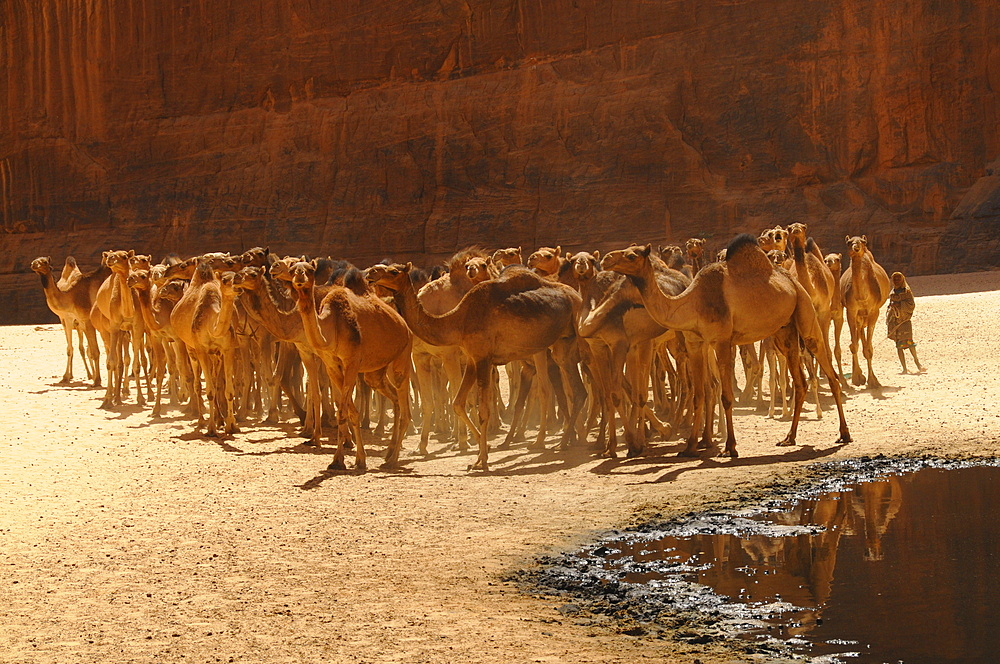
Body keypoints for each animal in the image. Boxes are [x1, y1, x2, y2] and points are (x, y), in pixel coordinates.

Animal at [30, 256, 108, 386]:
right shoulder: (71, 320)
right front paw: (67, 377)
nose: (33, 264)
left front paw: (96, 379)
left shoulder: (84, 320)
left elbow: (92, 350)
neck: (71, 297)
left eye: (44, 262)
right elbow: (73, 349)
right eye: (35, 260)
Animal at [288, 260, 412, 472]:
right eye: (292, 269)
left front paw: (341, 460)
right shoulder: (332, 364)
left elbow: (343, 411)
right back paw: (388, 452)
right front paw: (354, 459)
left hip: (402, 357)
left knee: (405, 410)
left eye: (310, 270)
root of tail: (406, 326)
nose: (300, 278)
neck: (332, 325)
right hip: (376, 371)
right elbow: (349, 411)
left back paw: (393, 460)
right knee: (394, 399)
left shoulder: (352, 363)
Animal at [368, 262, 584, 470]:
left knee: (565, 389)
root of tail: (578, 297)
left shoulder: (483, 358)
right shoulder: (472, 359)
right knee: (576, 390)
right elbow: (457, 402)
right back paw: (568, 441)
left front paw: (482, 460)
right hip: (560, 344)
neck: (458, 320)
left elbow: (483, 410)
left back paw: (555, 442)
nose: (371, 272)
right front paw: (482, 448)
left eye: (394, 271)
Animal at [600, 236, 852, 460]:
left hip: (806, 313)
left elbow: (727, 396)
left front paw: (729, 447)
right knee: (800, 383)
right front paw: (690, 447)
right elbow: (699, 395)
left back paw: (844, 434)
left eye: (631, 256)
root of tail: (794, 282)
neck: (692, 302)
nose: (605, 259)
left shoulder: (722, 341)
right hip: (785, 331)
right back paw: (789, 438)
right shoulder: (695, 343)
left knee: (828, 371)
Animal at [844, 236, 892, 390]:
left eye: (863, 242)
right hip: (859, 317)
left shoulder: (873, 311)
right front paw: (857, 378)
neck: (862, 296)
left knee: (863, 342)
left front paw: (873, 381)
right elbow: (854, 345)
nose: (856, 247)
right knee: (857, 341)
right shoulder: (851, 311)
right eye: (849, 242)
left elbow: (869, 349)